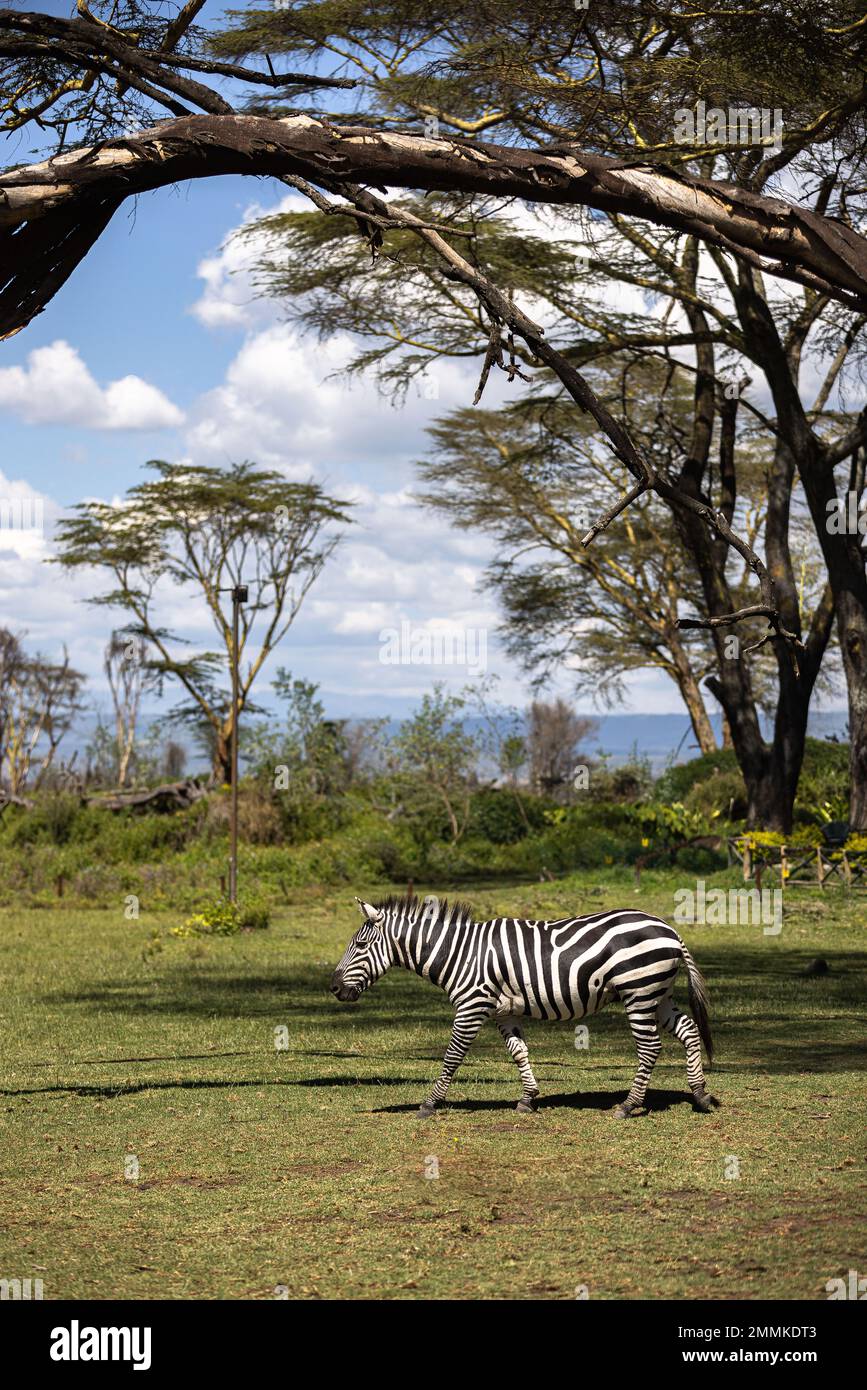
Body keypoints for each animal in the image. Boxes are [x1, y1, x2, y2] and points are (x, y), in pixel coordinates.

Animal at [327, 889, 716, 1117]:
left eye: (359, 946)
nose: (332, 988)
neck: (458, 954)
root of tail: (670, 929)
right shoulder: (503, 1011)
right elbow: (519, 1052)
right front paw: (528, 1098)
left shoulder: (471, 1006)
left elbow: (452, 1056)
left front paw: (428, 1103)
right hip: (656, 993)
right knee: (688, 1030)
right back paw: (699, 1095)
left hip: (638, 991)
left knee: (650, 1048)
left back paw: (628, 1105)